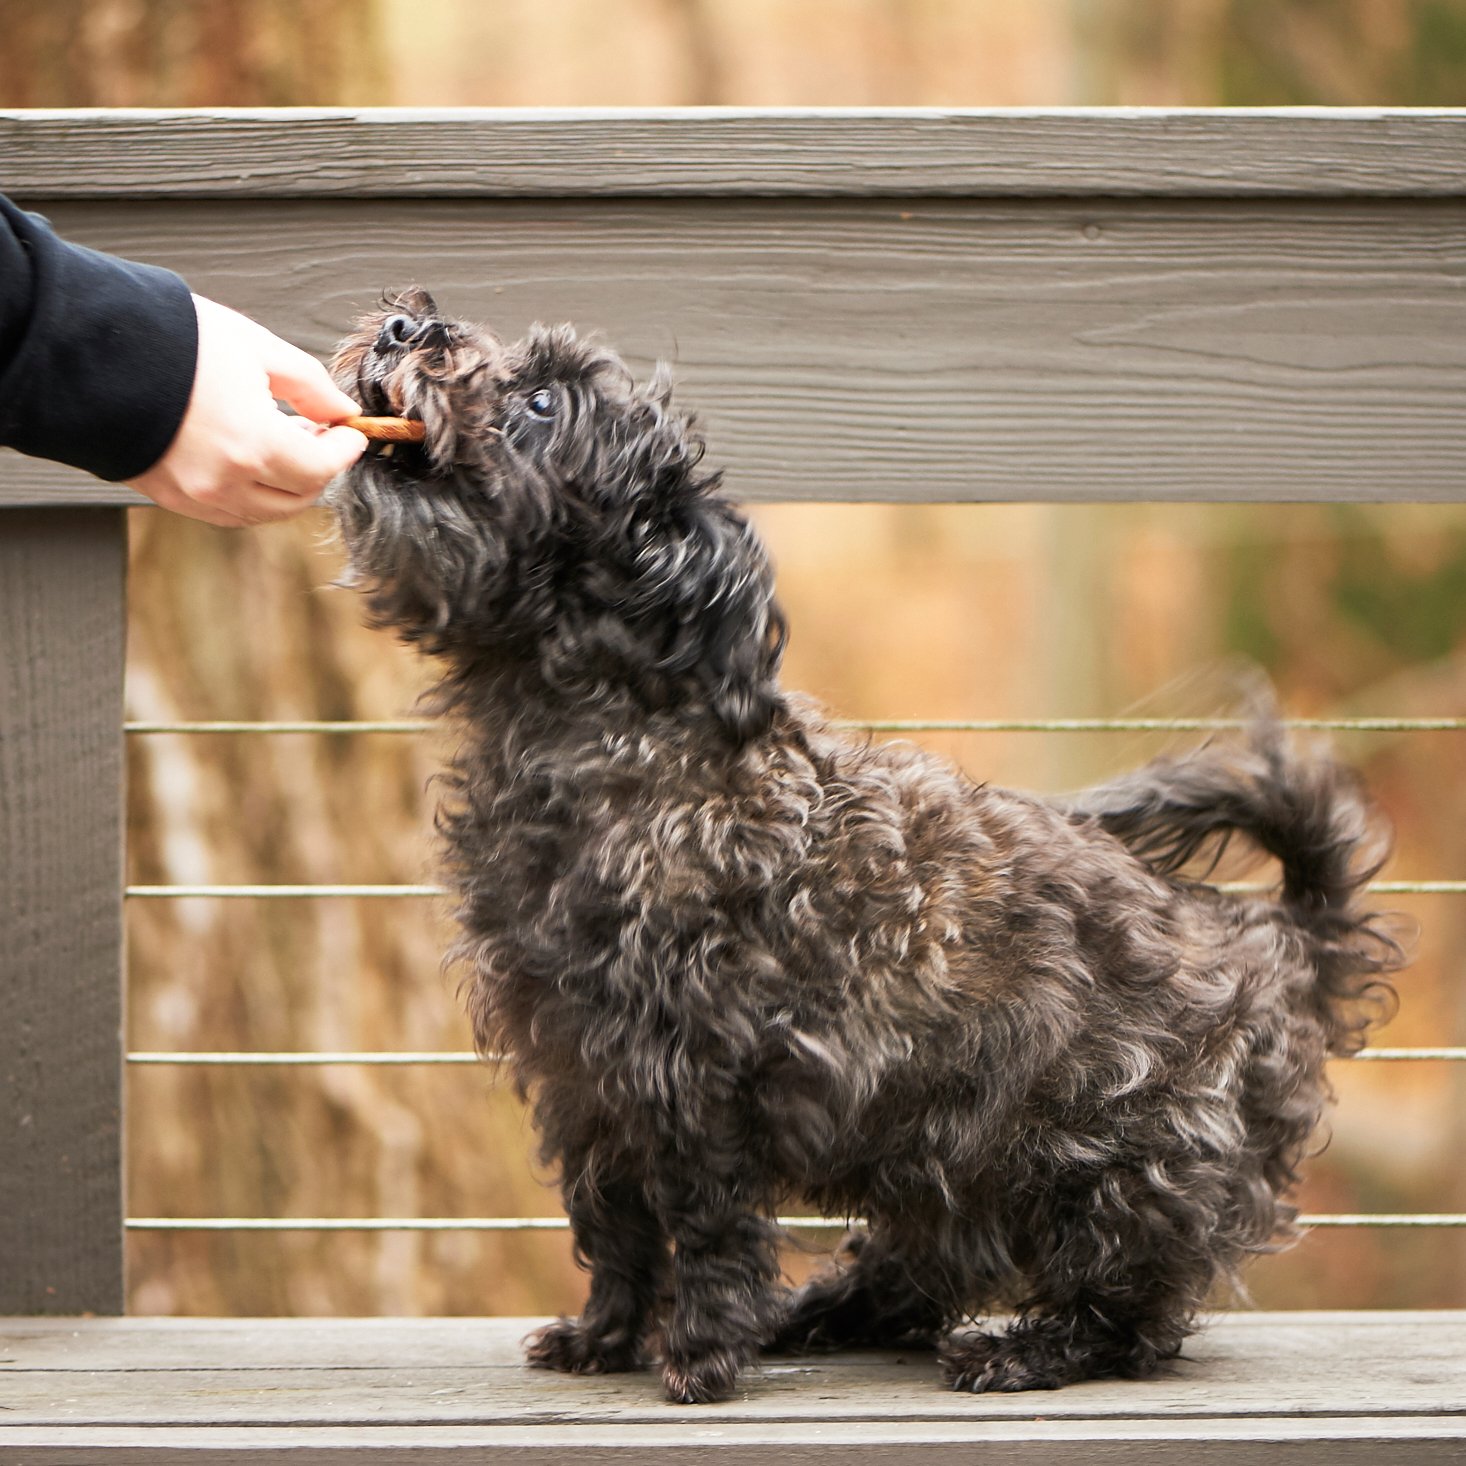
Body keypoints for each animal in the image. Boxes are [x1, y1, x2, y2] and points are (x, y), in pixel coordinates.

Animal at [326, 291, 1401, 1401]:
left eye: (541, 401)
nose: (406, 323)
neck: (607, 738)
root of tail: (1280, 947)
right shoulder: (584, 1078)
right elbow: (612, 1224)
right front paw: (605, 1335)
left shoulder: (695, 1078)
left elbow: (704, 1230)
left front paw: (699, 1356)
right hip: (944, 1165)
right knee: (924, 1273)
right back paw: (822, 1313)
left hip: (1103, 1165)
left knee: (1129, 1318)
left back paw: (1020, 1348)